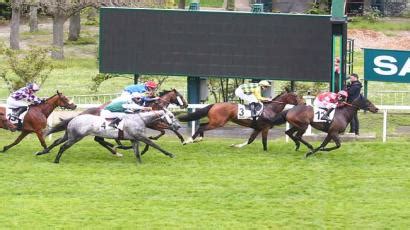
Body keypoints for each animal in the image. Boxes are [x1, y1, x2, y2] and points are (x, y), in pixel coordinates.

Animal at [43, 109, 181, 164]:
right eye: (171, 116)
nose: (178, 126)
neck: (139, 119)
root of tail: (75, 118)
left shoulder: (134, 139)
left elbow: (137, 152)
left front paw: (140, 163)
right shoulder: (140, 137)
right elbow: (154, 144)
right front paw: (170, 154)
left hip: (69, 135)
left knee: (56, 142)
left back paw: (42, 152)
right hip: (75, 137)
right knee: (63, 147)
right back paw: (56, 160)